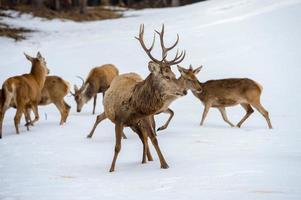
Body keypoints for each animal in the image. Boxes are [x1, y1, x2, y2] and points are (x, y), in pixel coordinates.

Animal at [86, 24, 186, 171]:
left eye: (174, 75)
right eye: (167, 77)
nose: (184, 91)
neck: (134, 106)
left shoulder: (145, 118)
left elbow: (154, 139)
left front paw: (164, 164)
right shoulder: (119, 120)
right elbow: (117, 147)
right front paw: (111, 169)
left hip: (139, 123)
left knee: (145, 139)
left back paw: (147, 160)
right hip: (128, 122)